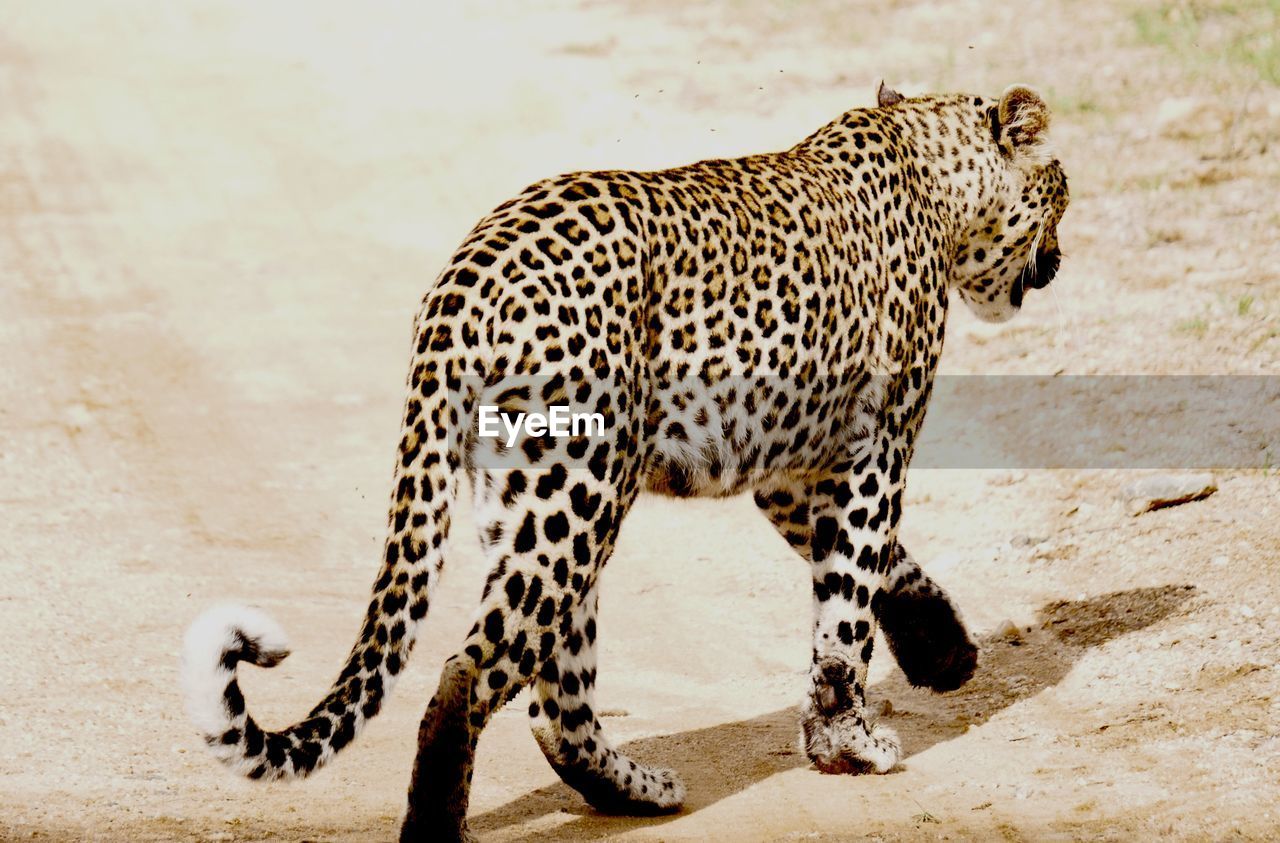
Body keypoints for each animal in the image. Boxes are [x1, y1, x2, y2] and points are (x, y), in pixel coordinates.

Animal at [180, 80, 1070, 843]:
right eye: (1061, 187)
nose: (1060, 258)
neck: (929, 166)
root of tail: (461, 284)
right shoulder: (872, 446)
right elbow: (848, 600)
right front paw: (850, 742)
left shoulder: (791, 468)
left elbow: (871, 573)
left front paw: (940, 651)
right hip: (577, 496)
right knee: (471, 674)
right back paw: (441, 827)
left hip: (534, 495)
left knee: (554, 697)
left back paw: (636, 789)